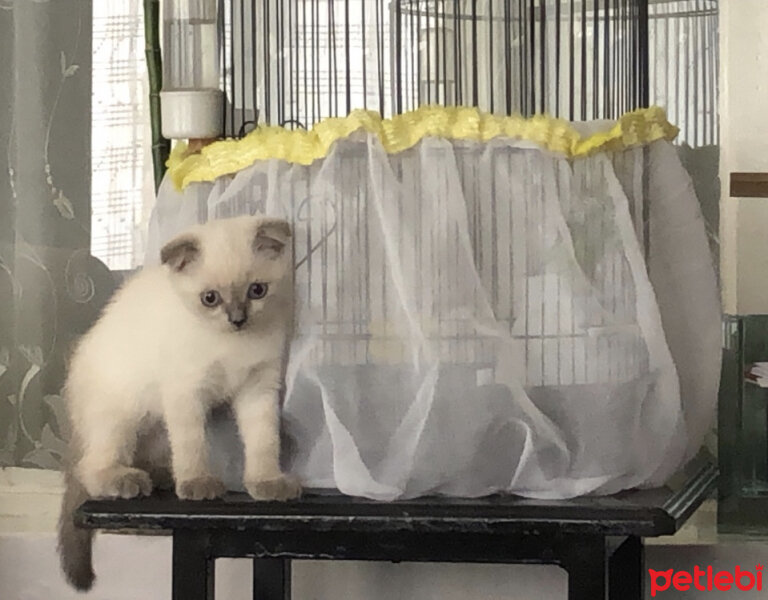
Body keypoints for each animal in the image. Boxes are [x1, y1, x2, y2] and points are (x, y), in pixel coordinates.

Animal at [55, 213, 296, 588]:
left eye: (257, 290)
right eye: (210, 298)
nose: (237, 320)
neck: (232, 344)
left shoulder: (259, 390)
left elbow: (263, 442)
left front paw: (267, 482)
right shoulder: (186, 392)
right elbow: (192, 446)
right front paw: (197, 484)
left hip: (155, 430)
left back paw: (161, 476)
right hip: (120, 419)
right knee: (90, 467)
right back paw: (127, 479)